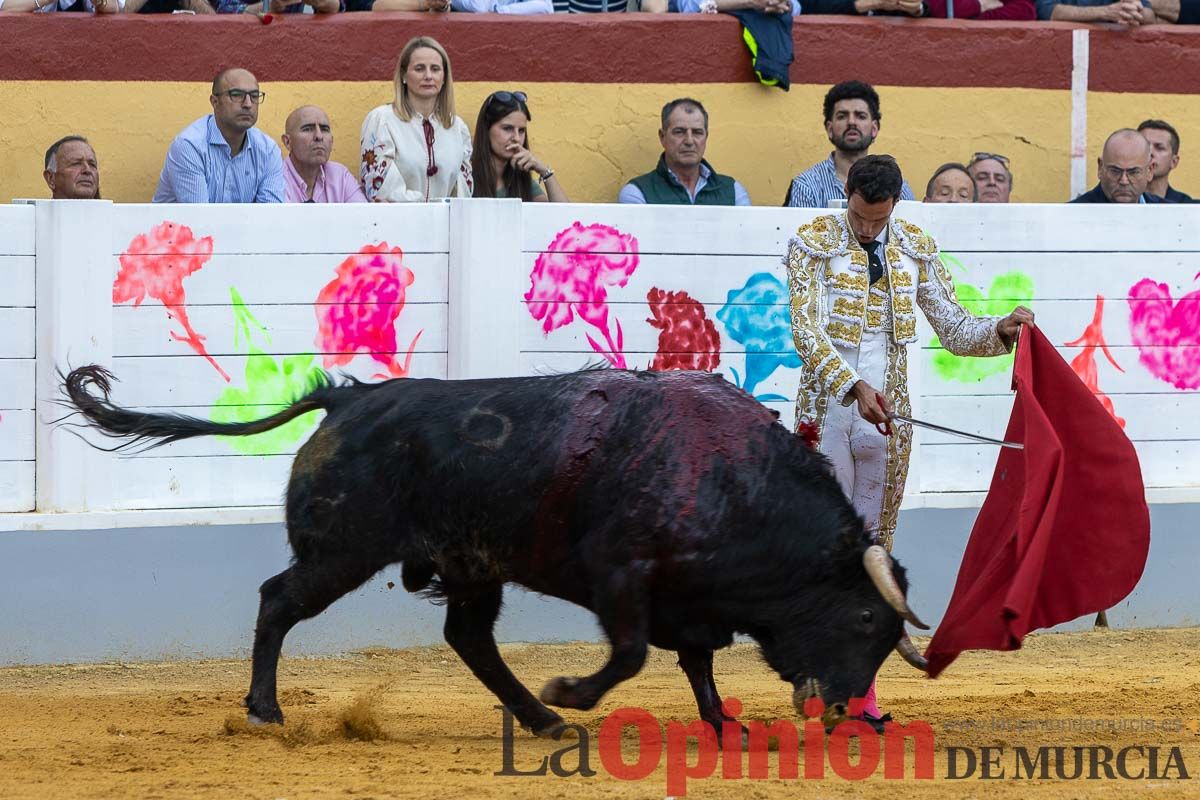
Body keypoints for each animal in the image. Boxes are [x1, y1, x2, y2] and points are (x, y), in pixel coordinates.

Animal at [60, 367, 931, 734]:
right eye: (864, 621)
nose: (845, 707)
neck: (728, 474)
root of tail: (348, 399)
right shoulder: (623, 577)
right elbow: (631, 655)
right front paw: (575, 690)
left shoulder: (691, 599)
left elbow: (697, 663)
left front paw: (724, 725)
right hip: (343, 553)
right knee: (279, 600)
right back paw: (265, 710)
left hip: (469, 566)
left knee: (469, 637)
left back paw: (538, 720)